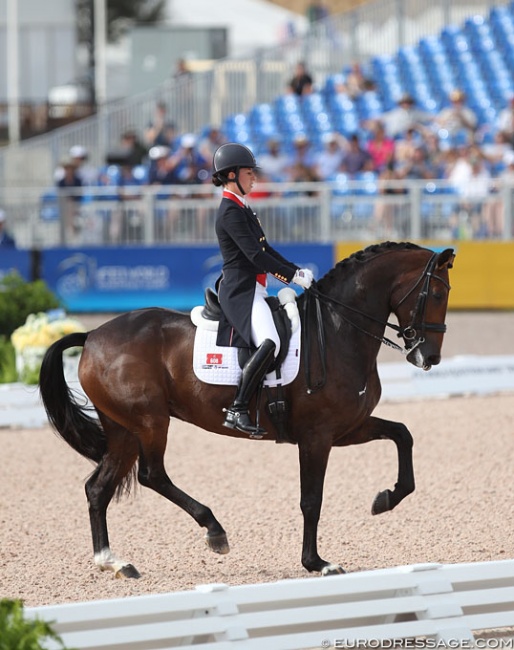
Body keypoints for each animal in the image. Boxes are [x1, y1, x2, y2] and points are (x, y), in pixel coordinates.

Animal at [38, 240, 452, 576]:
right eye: (435, 292)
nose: (428, 357)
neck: (338, 330)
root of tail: (93, 336)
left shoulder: (347, 429)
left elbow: (403, 435)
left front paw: (385, 500)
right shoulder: (316, 436)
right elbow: (311, 500)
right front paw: (316, 562)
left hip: (123, 428)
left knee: (98, 488)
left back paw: (113, 561)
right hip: (150, 422)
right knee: (151, 475)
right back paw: (214, 532)